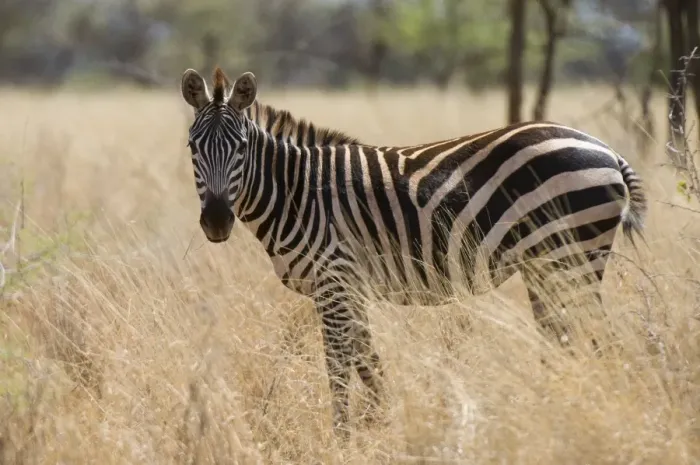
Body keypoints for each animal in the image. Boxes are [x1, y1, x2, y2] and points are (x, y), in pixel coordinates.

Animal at [179, 67, 647, 436]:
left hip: (573, 258)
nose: (216, 222)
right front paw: (382, 425)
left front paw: (343, 437)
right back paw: (554, 409)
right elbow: (369, 363)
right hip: (549, 266)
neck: (296, 192)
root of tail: (606, 149)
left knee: (600, 340)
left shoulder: (333, 279)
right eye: (192, 147)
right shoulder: (348, 287)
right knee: (564, 339)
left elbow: (338, 366)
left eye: (241, 148)